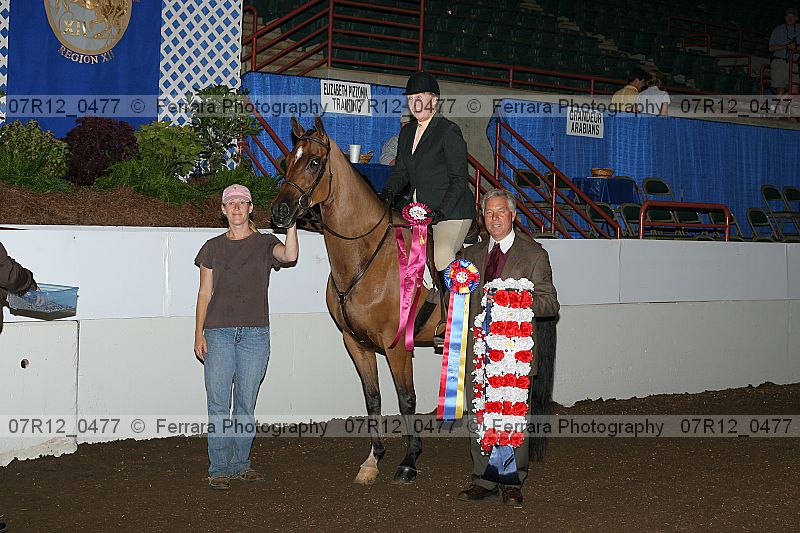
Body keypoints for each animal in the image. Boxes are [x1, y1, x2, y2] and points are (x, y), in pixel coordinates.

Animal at [270, 115, 557, 485]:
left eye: (314, 162)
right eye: (285, 162)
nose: (279, 211)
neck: (366, 257)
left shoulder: (396, 347)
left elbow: (406, 399)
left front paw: (409, 460)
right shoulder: (355, 343)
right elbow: (373, 398)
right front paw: (373, 459)